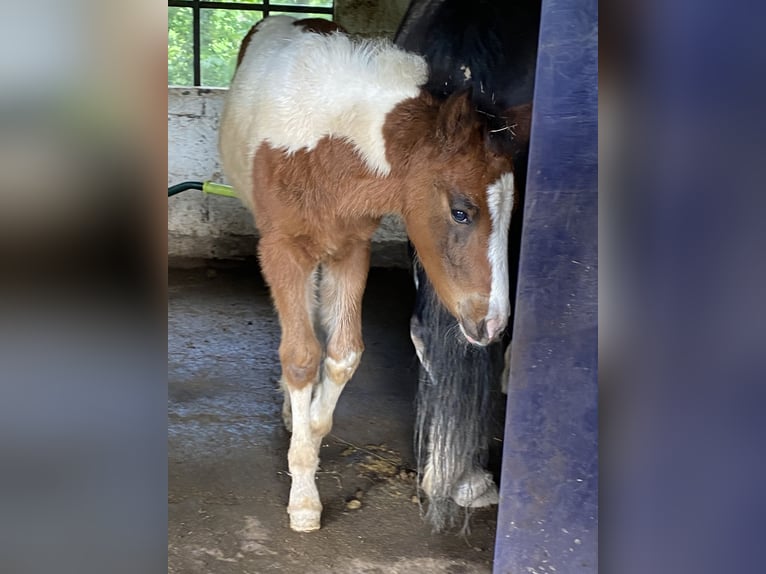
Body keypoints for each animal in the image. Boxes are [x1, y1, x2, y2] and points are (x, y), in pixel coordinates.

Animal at [219, 14, 520, 536]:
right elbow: (300, 356)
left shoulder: (351, 250)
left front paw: (311, 429)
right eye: (461, 212)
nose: (493, 323)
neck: (325, 140)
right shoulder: (282, 250)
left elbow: (341, 355)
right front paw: (303, 499)